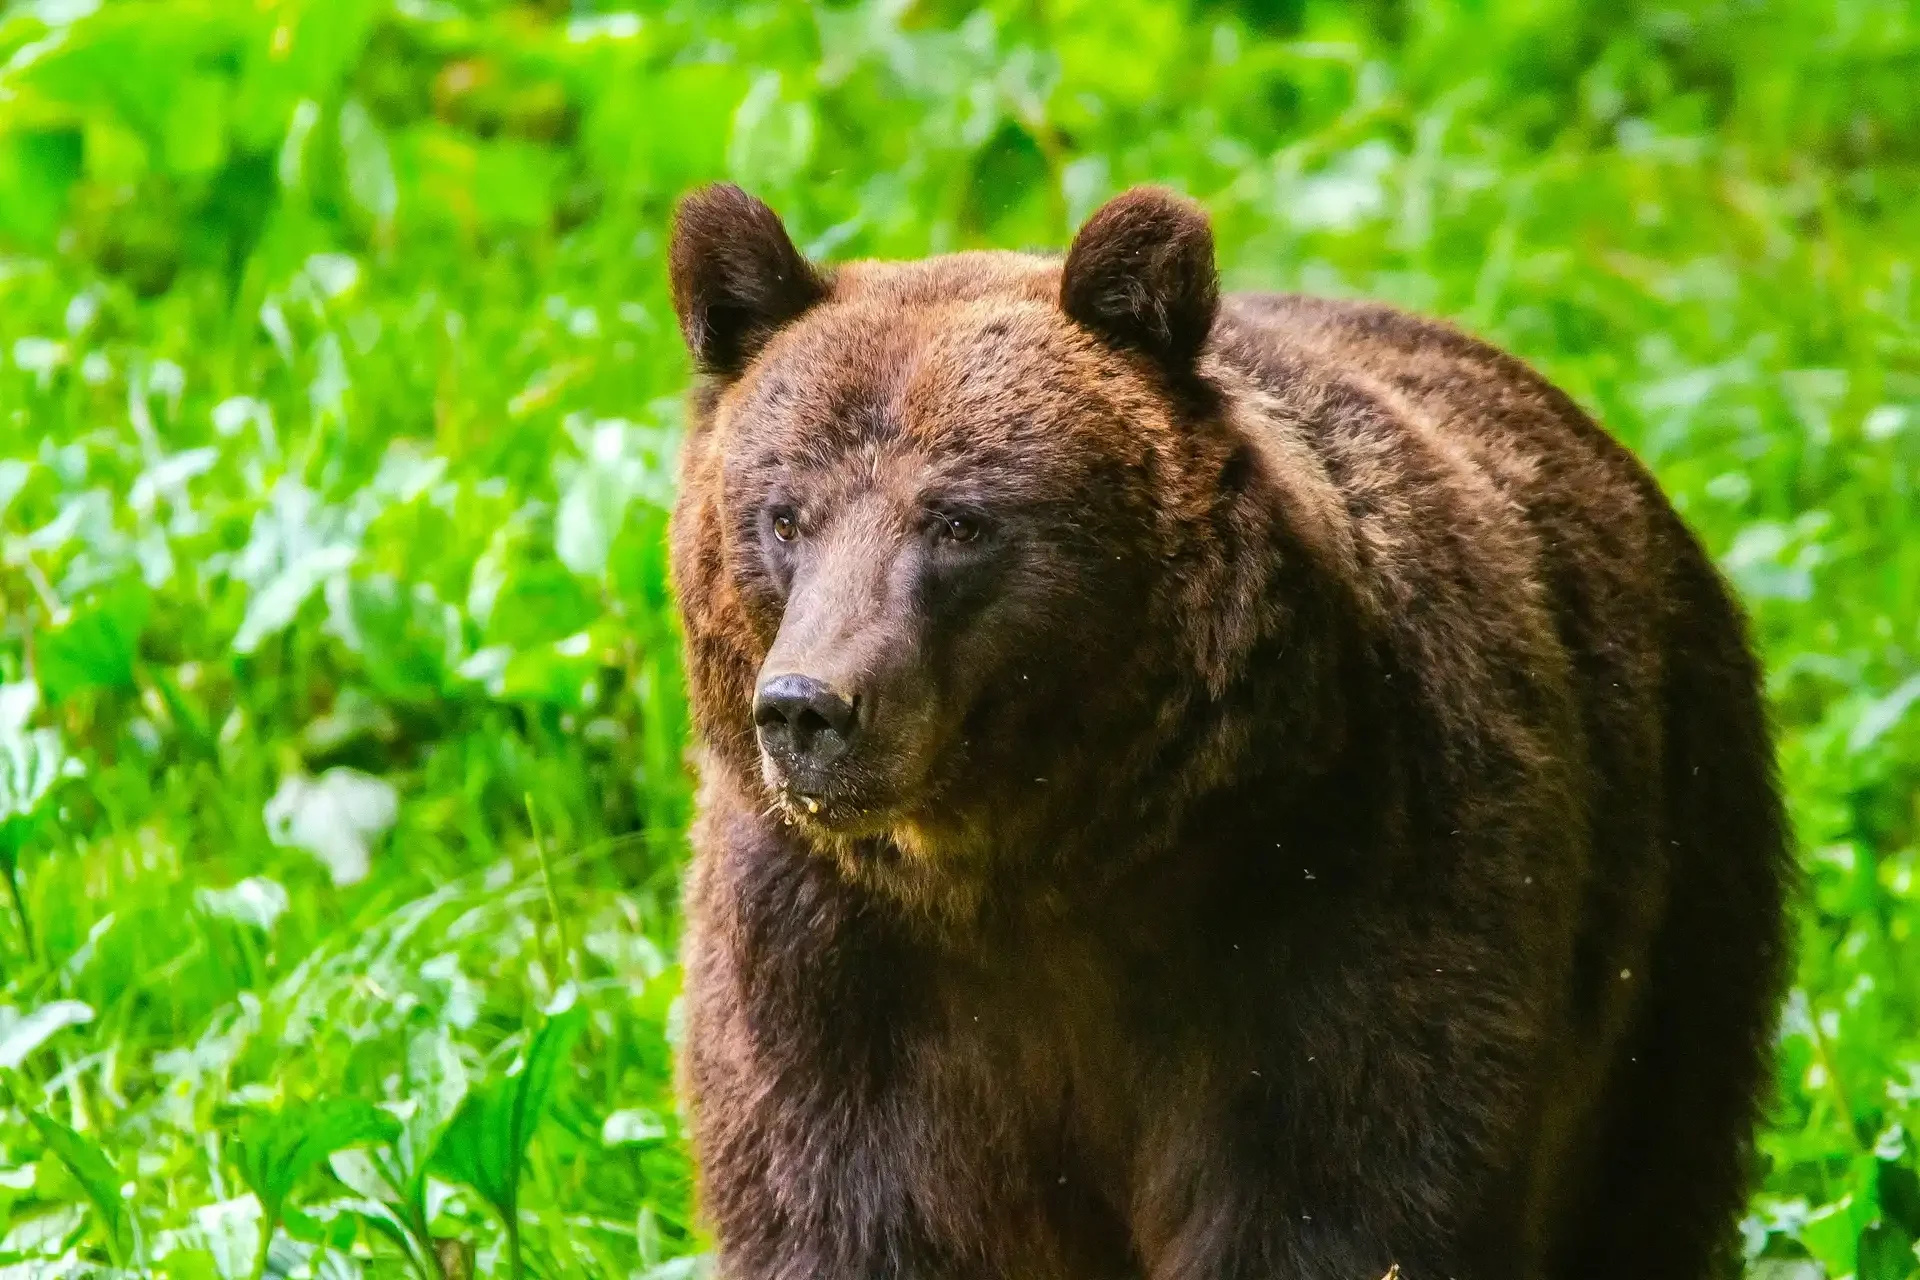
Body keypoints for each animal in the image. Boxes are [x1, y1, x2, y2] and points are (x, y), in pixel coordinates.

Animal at [664, 182, 1792, 1280]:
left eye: (960, 520)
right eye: (784, 515)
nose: (809, 706)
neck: (1035, 871)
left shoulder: (1342, 891)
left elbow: (1340, 1198)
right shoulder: (833, 966)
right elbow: (846, 1211)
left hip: (1674, 880)